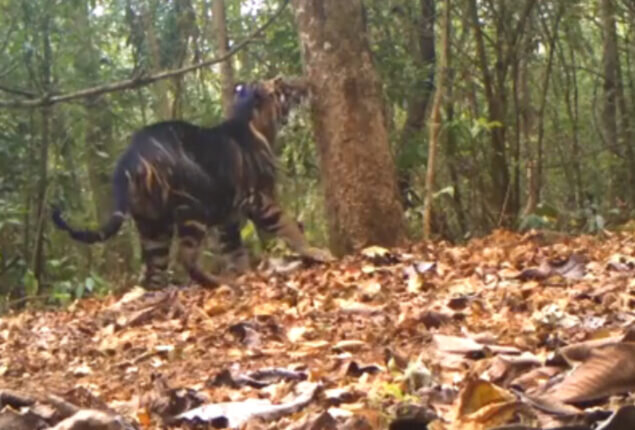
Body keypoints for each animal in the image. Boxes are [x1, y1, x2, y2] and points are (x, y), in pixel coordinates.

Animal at [52, 76, 336, 290]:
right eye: (283, 85)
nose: (306, 83)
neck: (256, 123)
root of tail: (130, 157)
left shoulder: (228, 219)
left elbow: (235, 251)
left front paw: (245, 274)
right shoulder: (260, 198)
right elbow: (288, 225)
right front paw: (315, 251)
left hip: (152, 225)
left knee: (154, 270)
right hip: (192, 209)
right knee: (184, 257)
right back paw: (219, 283)